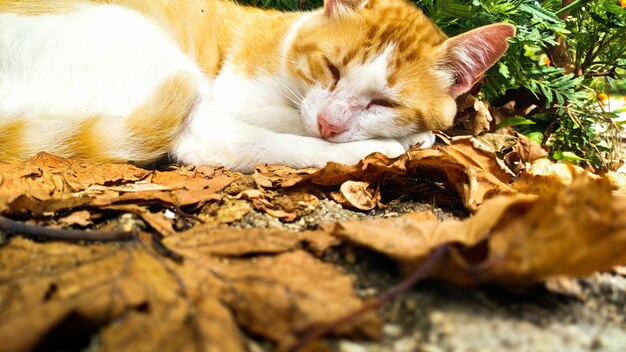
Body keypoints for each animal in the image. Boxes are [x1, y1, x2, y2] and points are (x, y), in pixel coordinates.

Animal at [0, 0, 516, 172]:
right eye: (331, 69)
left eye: (385, 101)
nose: (330, 124)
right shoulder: (235, 91)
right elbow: (289, 122)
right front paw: (408, 137)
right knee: (211, 142)